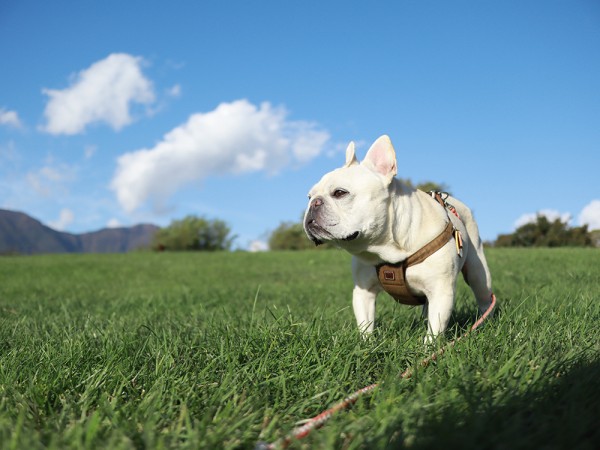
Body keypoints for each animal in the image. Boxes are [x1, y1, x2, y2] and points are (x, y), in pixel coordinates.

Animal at [302, 135, 494, 340]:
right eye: (309, 196)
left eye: (340, 193)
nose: (314, 203)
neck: (385, 248)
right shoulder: (363, 292)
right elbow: (365, 323)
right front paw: (366, 344)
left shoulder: (441, 293)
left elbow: (435, 329)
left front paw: (429, 347)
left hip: (477, 272)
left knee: (484, 298)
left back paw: (486, 324)